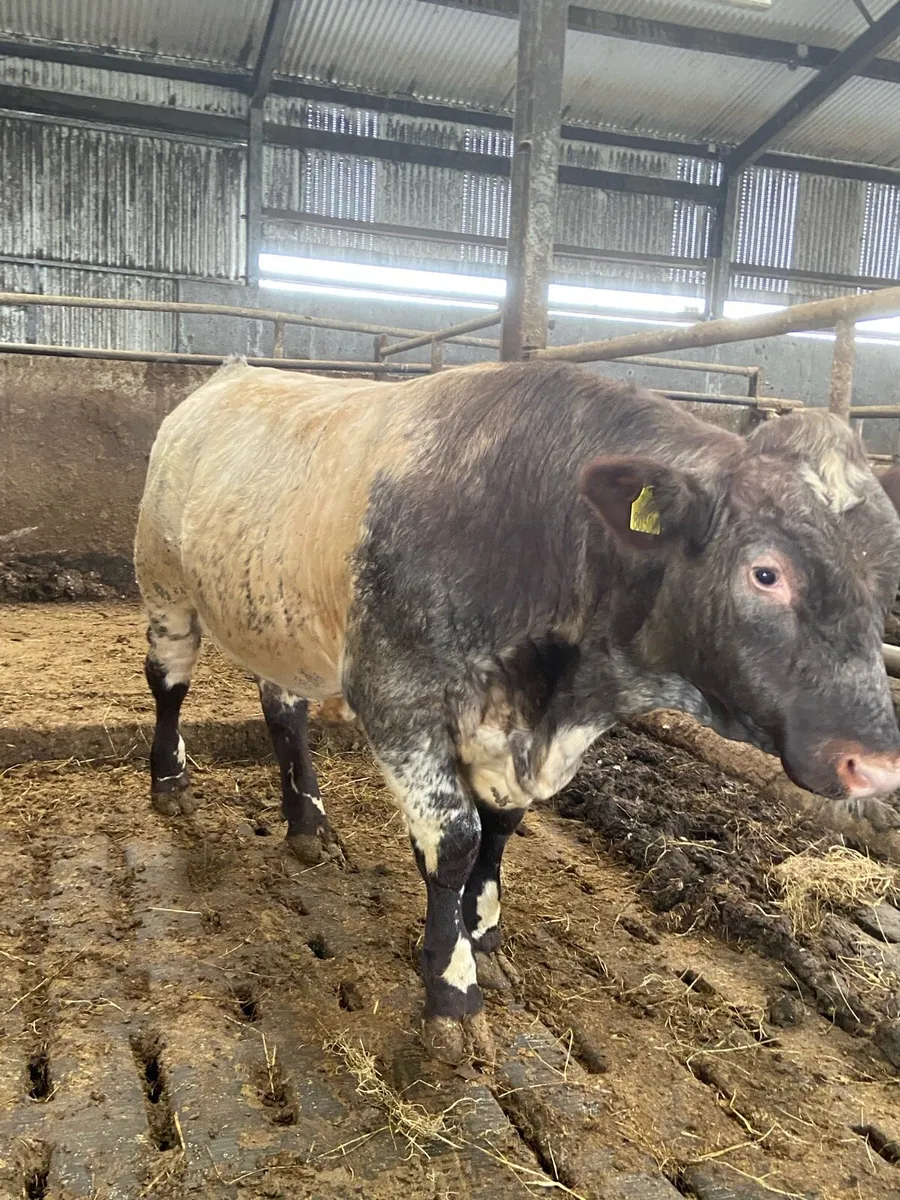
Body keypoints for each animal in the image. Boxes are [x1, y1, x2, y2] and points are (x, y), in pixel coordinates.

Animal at [134, 358, 900, 1064]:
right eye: (766, 573)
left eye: (881, 578)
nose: (878, 765)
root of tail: (232, 373)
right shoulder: (400, 701)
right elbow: (455, 843)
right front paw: (452, 989)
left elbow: (500, 830)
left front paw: (484, 938)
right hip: (166, 585)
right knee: (168, 679)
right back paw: (170, 782)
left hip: (278, 619)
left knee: (284, 708)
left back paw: (308, 821)